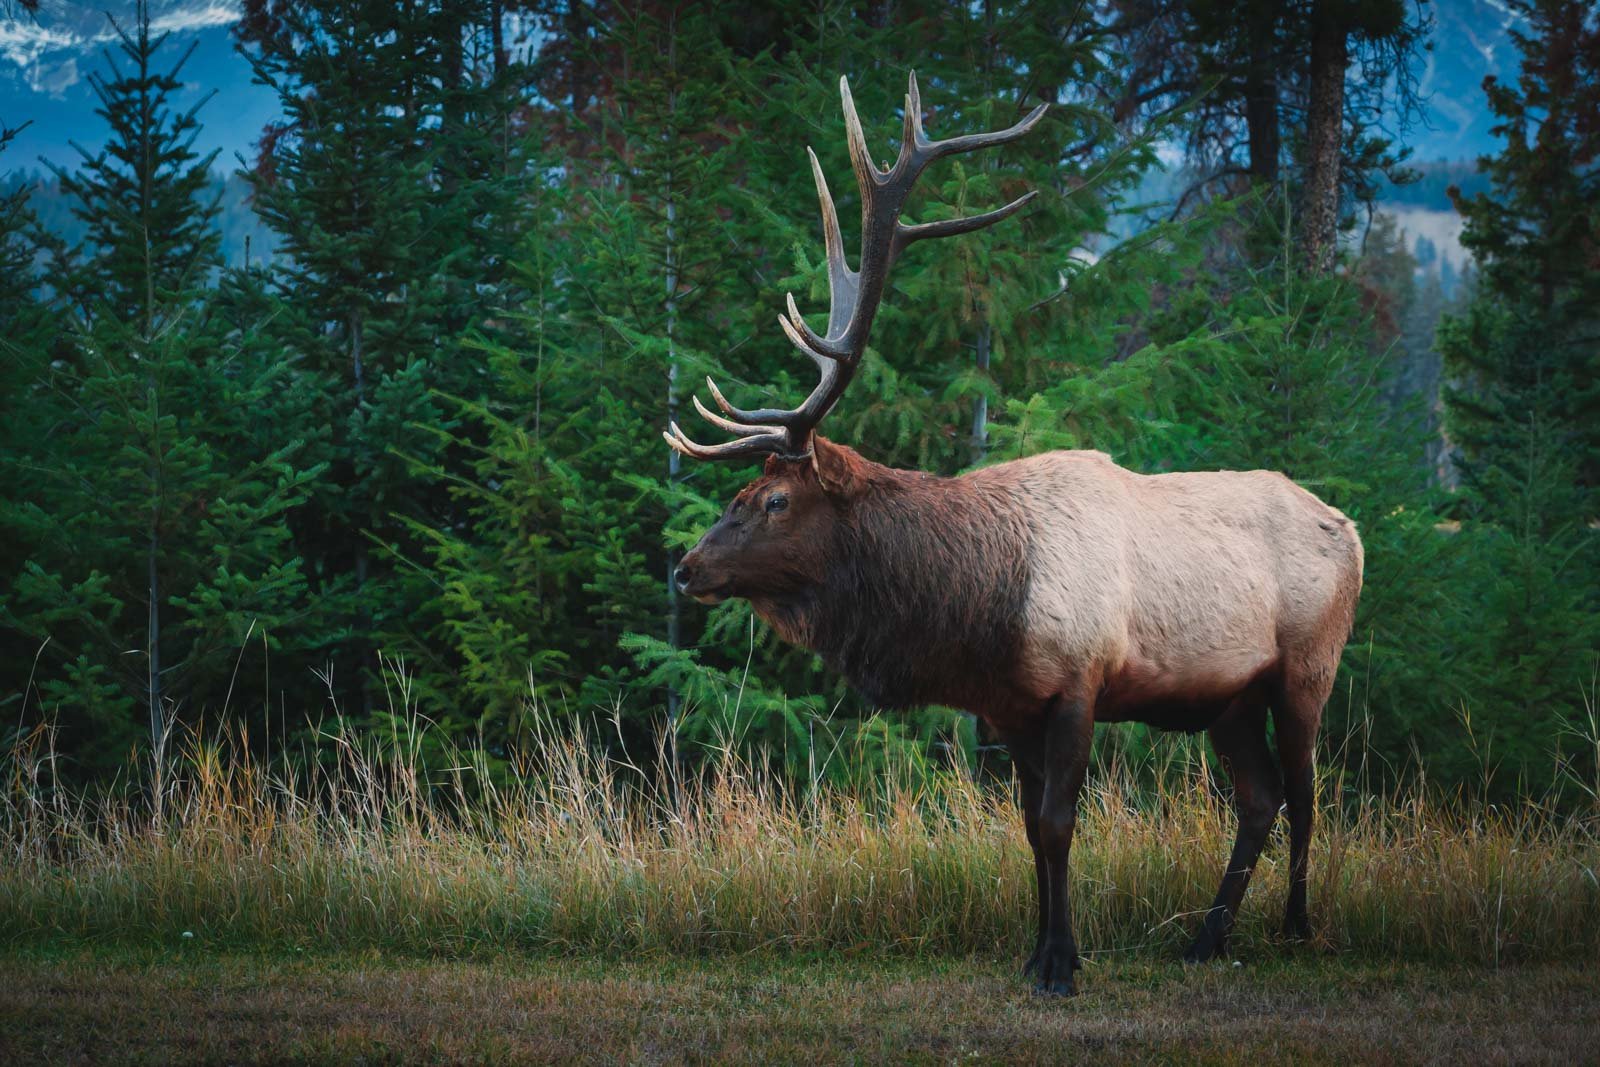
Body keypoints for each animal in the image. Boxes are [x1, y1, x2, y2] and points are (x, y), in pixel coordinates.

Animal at [665, 74, 1364, 997]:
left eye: (775, 498)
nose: (686, 567)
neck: (980, 609)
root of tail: (1353, 531)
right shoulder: (1011, 707)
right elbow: (1031, 828)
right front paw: (1036, 950)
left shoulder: (1078, 684)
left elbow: (1062, 823)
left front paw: (1063, 963)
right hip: (1229, 695)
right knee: (1260, 797)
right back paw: (1206, 937)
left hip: (1306, 668)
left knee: (1311, 791)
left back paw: (1296, 927)